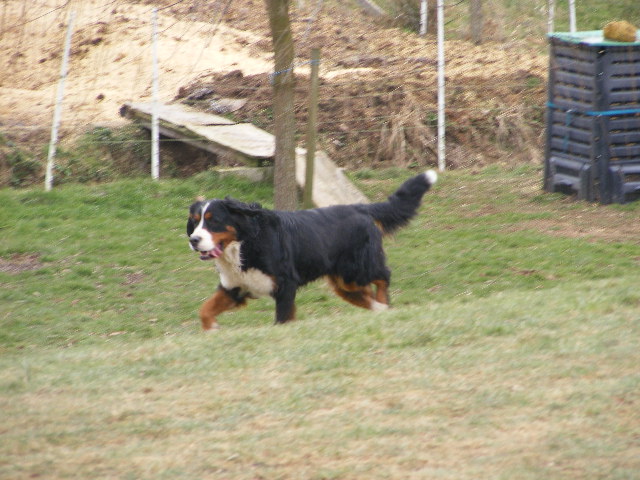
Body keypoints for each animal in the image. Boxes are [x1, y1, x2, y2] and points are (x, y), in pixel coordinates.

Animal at [182, 171, 438, 332]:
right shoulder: (234, 287)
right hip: (345, 282)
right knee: (365, 294)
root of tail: (360, 208)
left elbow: (282, 319)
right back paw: (379, 309)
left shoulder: (285, 285)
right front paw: (211, 329)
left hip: (357, 269)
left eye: (213, 221)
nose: (194, 240)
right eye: (194, 222)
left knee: (384, 276)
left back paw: (384, 305)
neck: (244, 244)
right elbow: (205, 309)